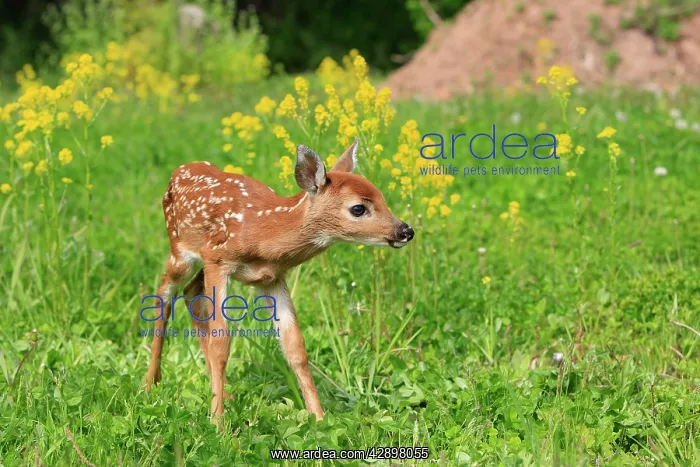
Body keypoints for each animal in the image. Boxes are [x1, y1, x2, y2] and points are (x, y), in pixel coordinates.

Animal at [144, 137, 415, 424]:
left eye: (383, 198)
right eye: (358, 208)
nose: (406, 230)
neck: (264, 234)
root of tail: (178, 171)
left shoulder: (272, 278)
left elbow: (295, 346)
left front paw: (318, 417)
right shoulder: (218, 260)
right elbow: (221, 342)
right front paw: (218, 423)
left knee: (191, 292)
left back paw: (223, 392)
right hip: (180, 250)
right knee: (164, 295)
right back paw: (151, 384)